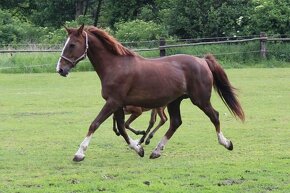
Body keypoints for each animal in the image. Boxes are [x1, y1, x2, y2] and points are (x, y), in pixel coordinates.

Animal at [56, 24, 245, 162]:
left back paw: (226, 143)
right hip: (174, 101)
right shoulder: (117, 104)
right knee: (175, 122)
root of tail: (202, 61)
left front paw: (79, 154)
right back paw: (156, 151)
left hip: (200, 100)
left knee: (215, 116)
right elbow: (122, 128)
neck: (116, 66)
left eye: (72, 45)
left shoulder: (113, 102)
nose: (60, 69)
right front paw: (138, 148)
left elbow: (95, 124)